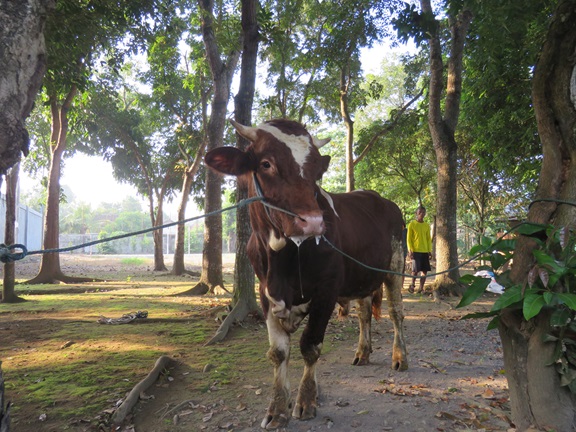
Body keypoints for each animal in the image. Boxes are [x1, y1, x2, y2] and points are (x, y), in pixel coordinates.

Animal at [205, 117, 408, 428]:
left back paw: (400, 357)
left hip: (395, 266)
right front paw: (277, 408)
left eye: (316, 170)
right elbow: (278, 353)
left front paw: (306, 400)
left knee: (397, 313)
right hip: (362, 277)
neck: (281, 260)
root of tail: (383, 200)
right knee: (364, 315)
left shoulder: (327, 292)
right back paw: (362, 352)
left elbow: (310, 345)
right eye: (266, 163)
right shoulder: (265, 294)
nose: (312, 222)